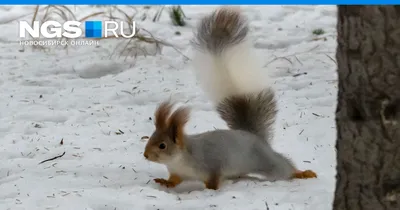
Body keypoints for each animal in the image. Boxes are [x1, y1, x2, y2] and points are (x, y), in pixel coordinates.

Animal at [142, 6, 318, 190]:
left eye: (162, 145)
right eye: (151, 137)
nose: (146, 154)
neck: (179, 159)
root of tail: (253, 136)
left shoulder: (211, 166)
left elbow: (213, 180)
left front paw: (211, 190)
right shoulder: (177, 173)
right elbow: (174, 181)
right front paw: (164, 182)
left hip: (267, 161)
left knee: (283, 167)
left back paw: (302, 173)